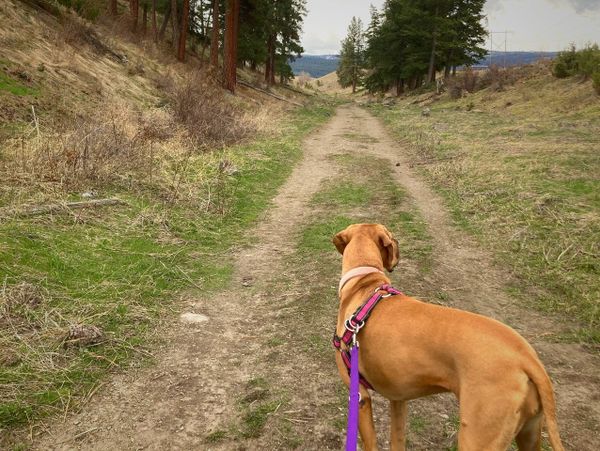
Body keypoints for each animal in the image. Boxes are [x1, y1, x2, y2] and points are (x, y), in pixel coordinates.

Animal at [332, 224, 564, 450]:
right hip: (529, 433)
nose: (398, 242)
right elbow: (397, 440)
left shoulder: (361, 398)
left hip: (477, 436)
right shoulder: (398, 399)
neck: (364, 283)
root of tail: (527, 357)